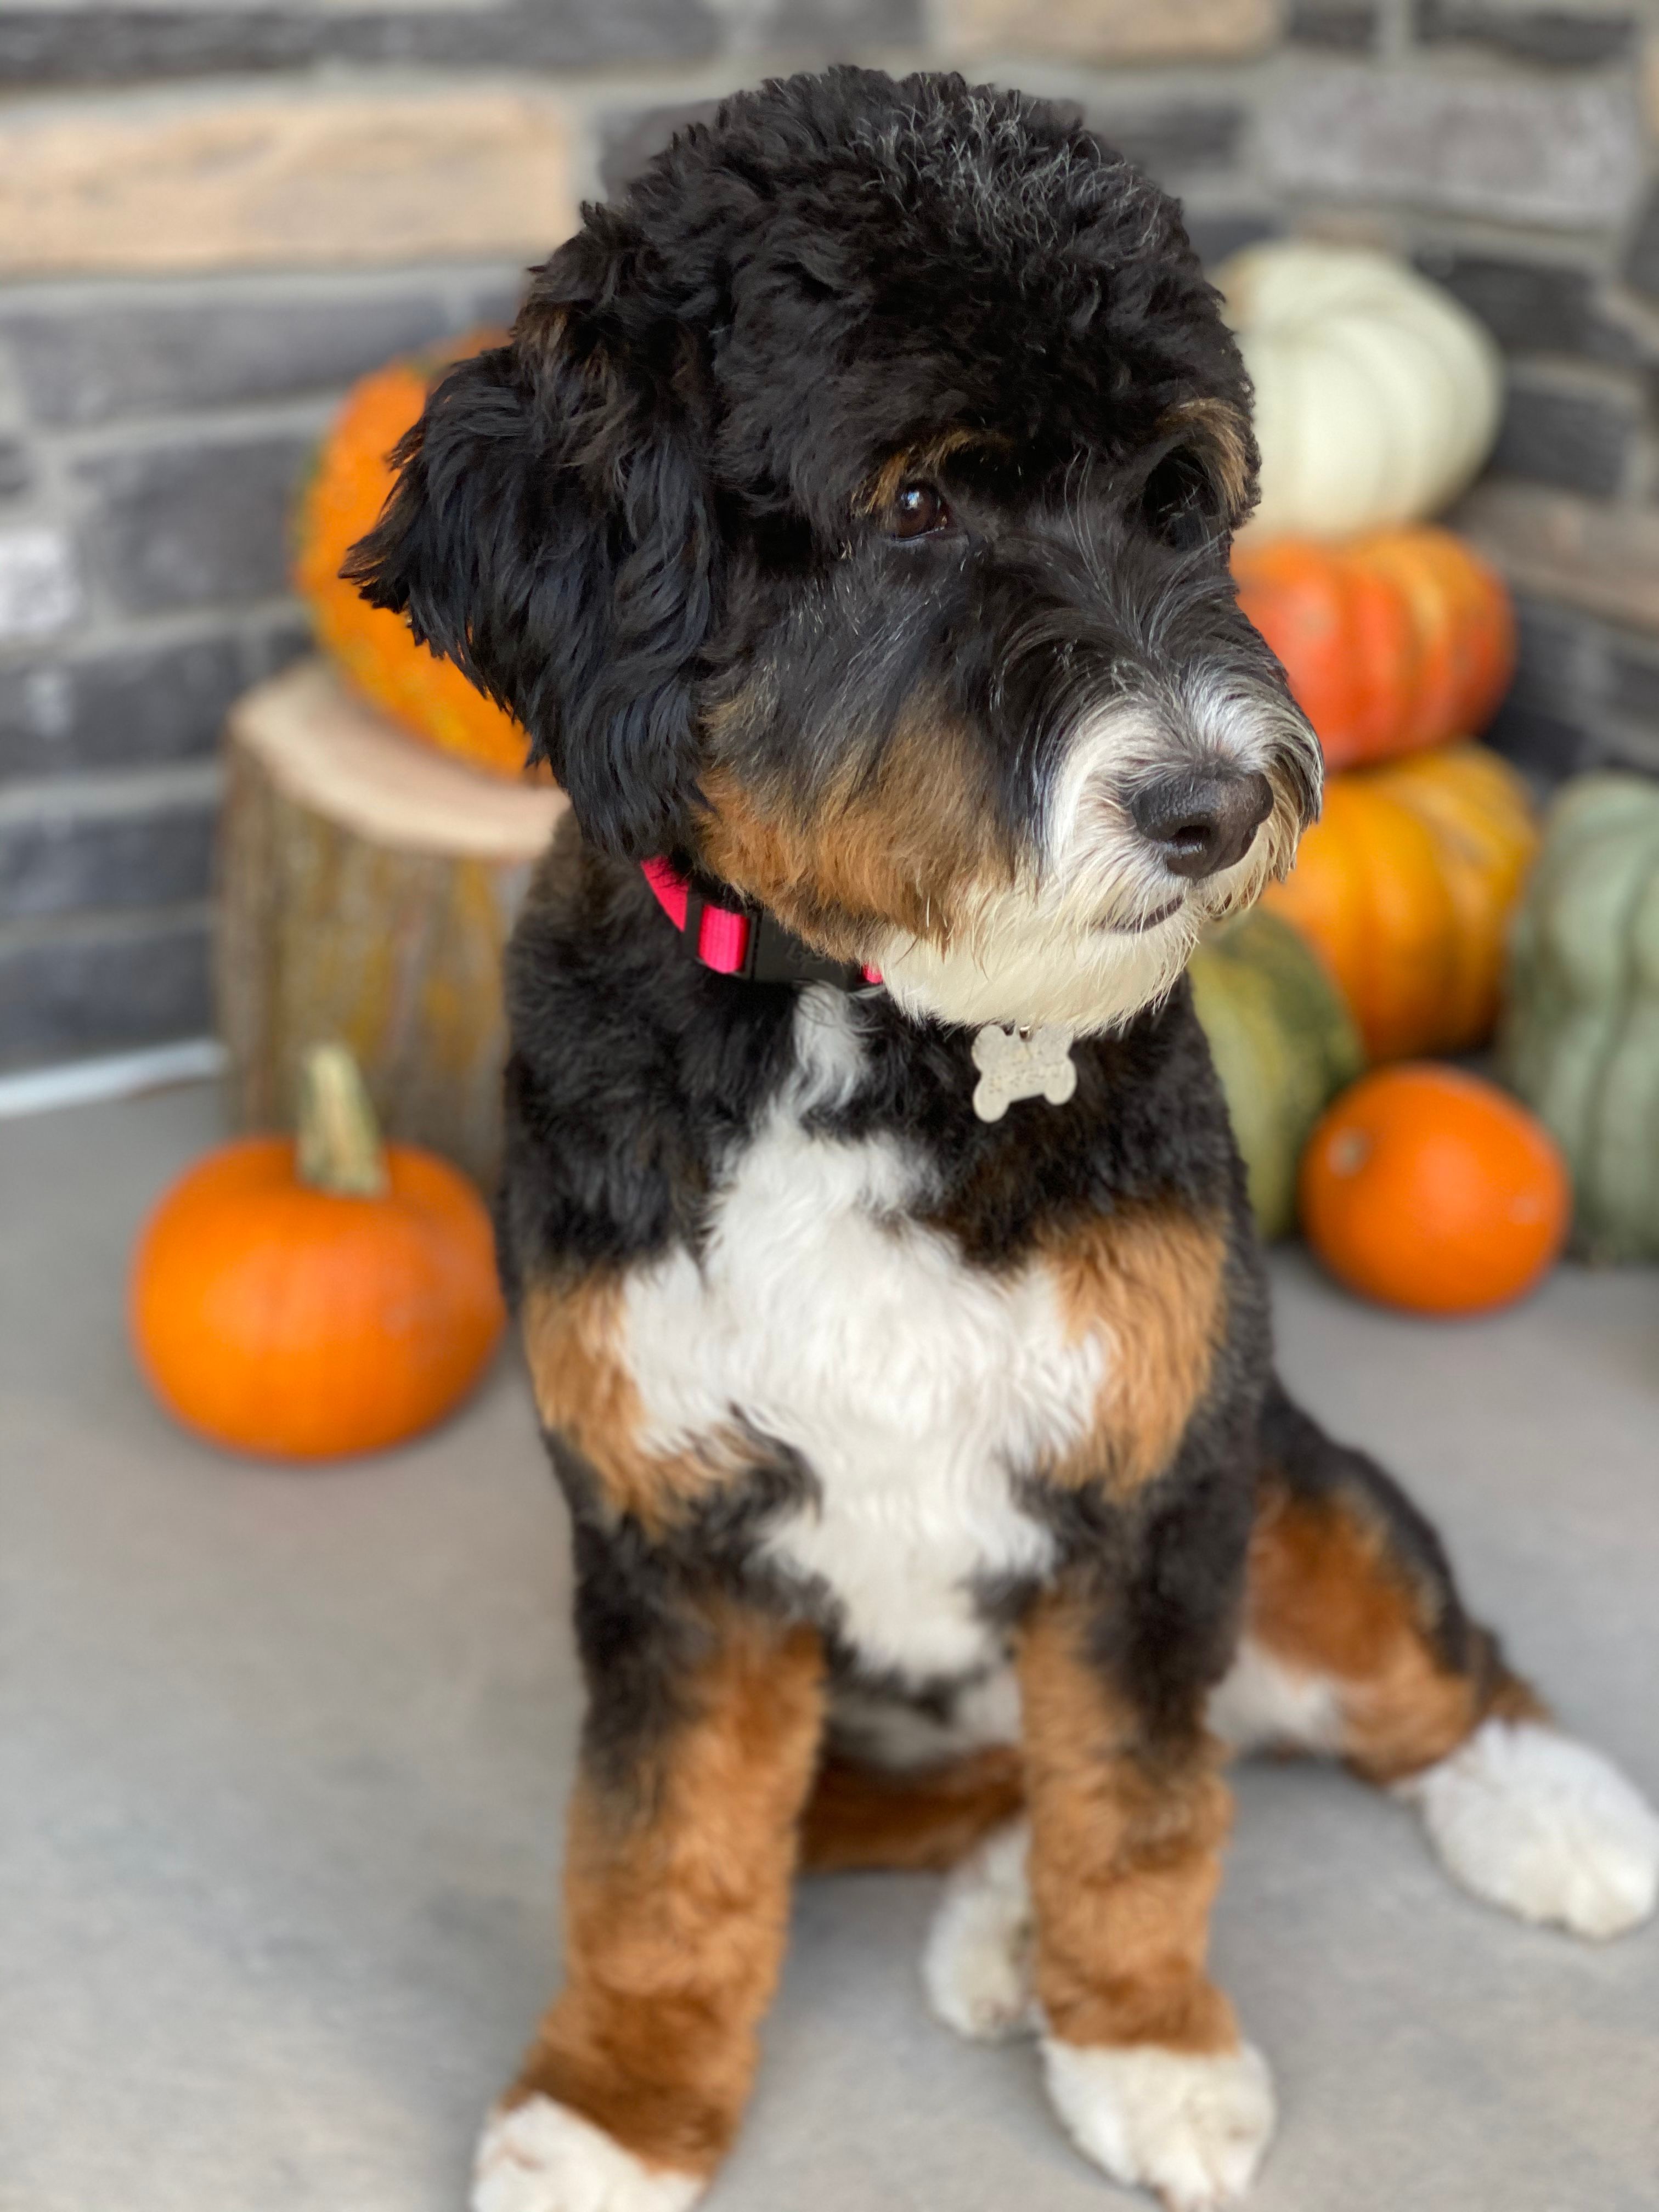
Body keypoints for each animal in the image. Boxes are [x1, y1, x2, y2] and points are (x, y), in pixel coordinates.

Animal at [347, 69, 1654, 2212]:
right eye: (914, 503)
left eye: (1181, 497)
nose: (1215, 801)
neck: (861, 1015)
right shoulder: (672, 1536)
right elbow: (664, 1857)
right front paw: (614, 2106)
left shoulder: (1150, 1478)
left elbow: (1137, 1808)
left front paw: (1143, 2044)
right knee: (967, 1788)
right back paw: (988, 1927)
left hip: (1283, 1472)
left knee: (1404, 1661)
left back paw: (1545, 1808)